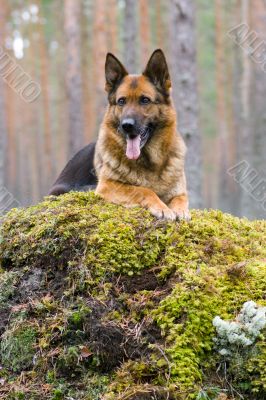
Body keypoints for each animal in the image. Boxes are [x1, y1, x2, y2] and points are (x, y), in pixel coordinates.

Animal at [48, 49, 190, 222]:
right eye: (121, 101)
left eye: (145, 100)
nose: (126, 126)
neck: (151, 163)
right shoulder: (107, 186)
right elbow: (144, 190)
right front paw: (161, 207)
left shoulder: (180, 191)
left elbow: (182, 198)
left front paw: (180, 210)